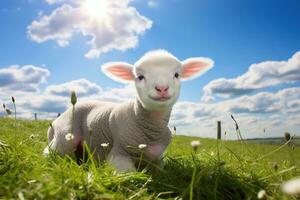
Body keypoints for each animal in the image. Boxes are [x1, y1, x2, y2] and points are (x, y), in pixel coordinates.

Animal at [44, 49, 213, 171]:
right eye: (140, 76)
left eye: (177, 74)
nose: (162, 88)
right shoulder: (118, 154)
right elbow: (129, 175)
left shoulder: (158, 159)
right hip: (66, 135)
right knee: (49, 152)